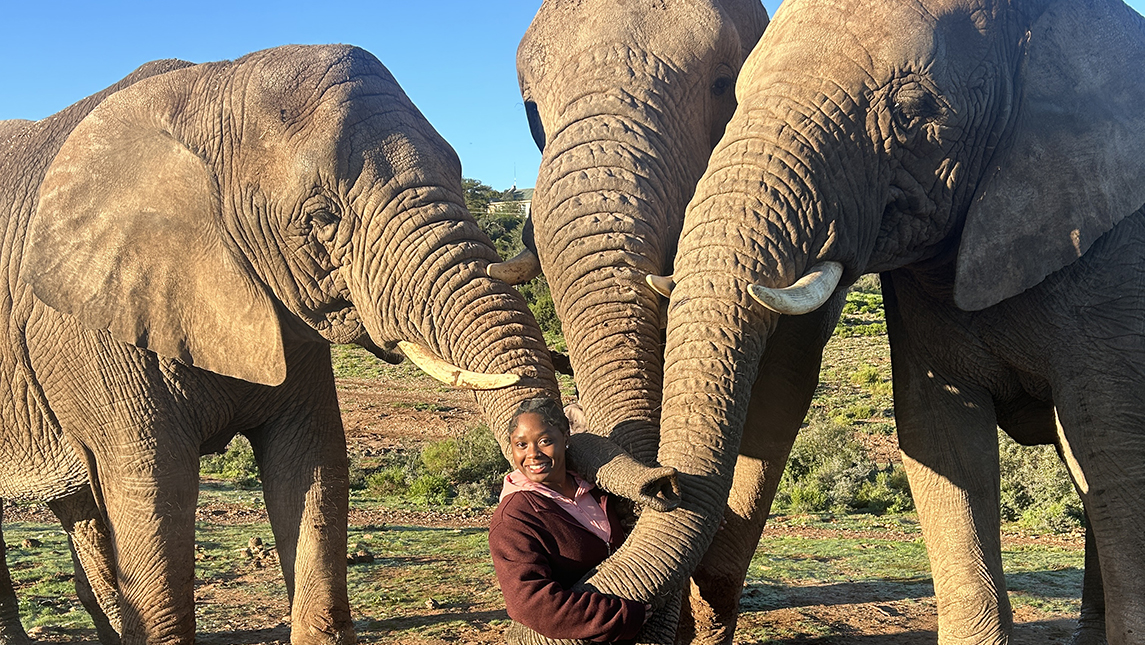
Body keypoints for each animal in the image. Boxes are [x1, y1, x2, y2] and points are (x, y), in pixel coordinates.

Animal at [0, 45, 590, 645]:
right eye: (322, 217)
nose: (547, 443)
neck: (205, 93)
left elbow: (310, 462)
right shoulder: (91, 320)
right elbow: (152, 485)